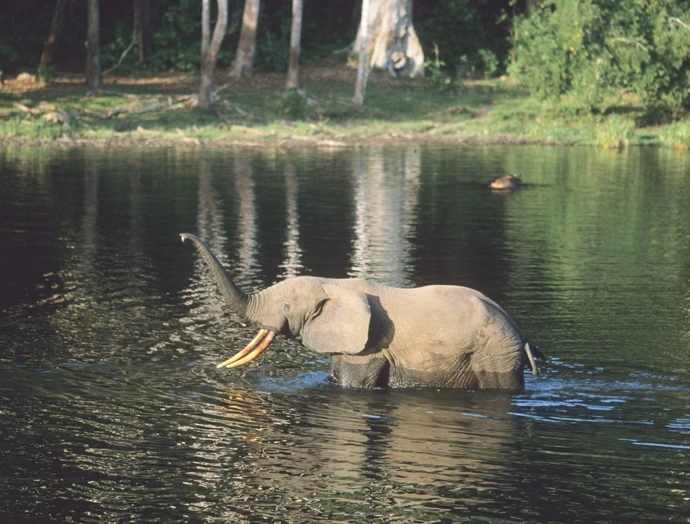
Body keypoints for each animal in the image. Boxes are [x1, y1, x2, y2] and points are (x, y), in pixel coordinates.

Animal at [180, 233, 539, 391]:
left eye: (285, 307)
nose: (183, 237)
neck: (333, 284)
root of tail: (521, 334)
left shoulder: (370, 346)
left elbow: (353, 387)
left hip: (495, 353)